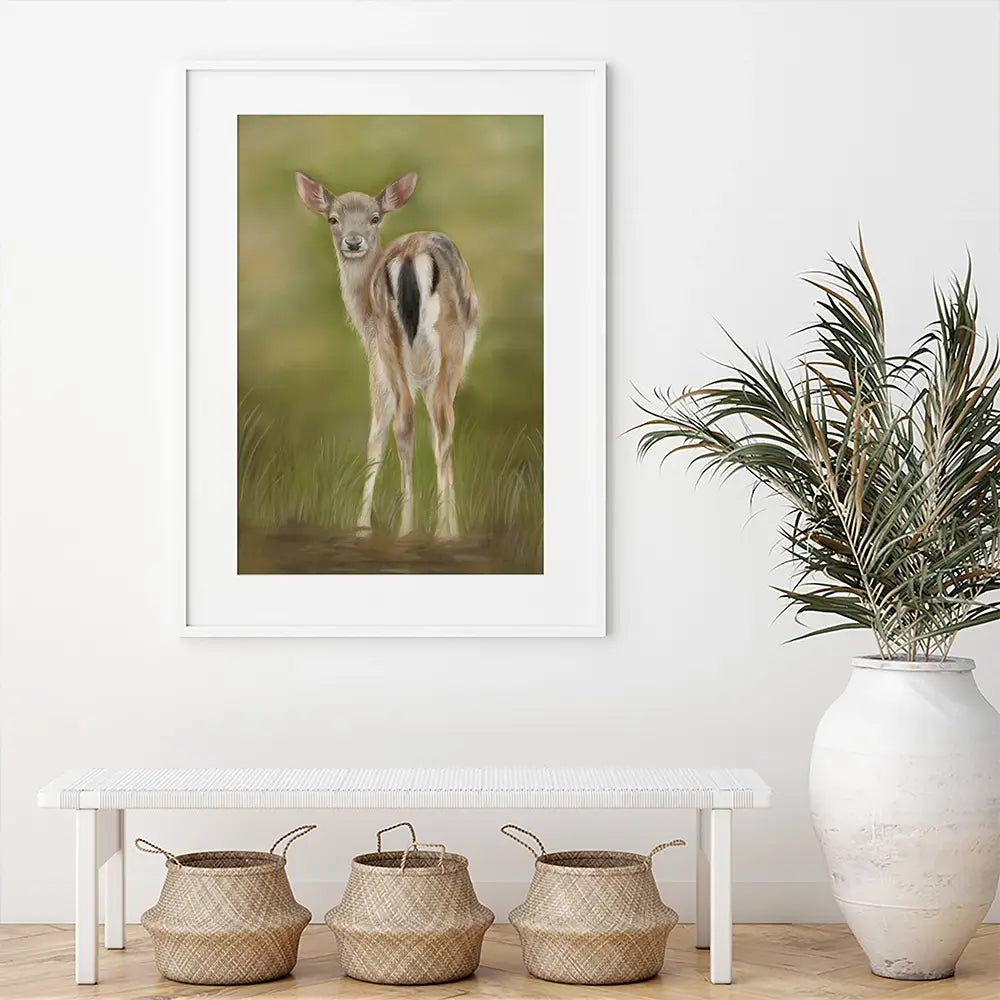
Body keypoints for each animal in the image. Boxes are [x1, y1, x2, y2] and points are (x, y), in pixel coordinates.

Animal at [295, 170, 479, 540]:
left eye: (374, 218)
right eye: (332, 218)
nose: (352, 242)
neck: (362, 314)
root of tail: (410, 256)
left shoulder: (384, 357)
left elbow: (382, 430)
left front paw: (363, 524)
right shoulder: (385, 360)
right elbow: (384, 431)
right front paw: (363, 524)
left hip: (395, 341)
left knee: (413, 417)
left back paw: (414, 528)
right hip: (436, 345)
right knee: (435, 418)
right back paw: (430, 530)